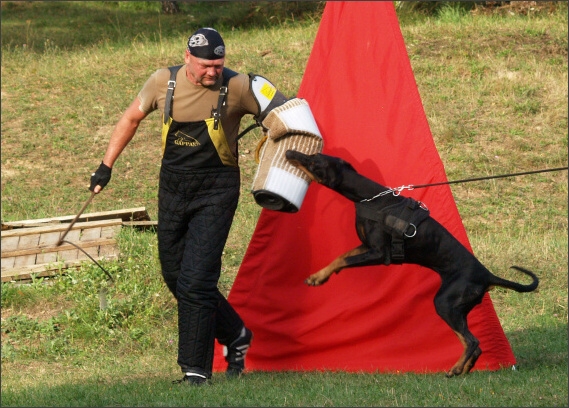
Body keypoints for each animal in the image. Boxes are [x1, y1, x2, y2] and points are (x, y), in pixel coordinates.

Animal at [286, 149, 540, 376]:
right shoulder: (366, 246)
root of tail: (487, 275)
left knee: (472, 341)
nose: (289, 152)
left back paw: (455, 369)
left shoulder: (380, 254)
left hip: (445, 303)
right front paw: (319, 276)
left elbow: (346, 260)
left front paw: (319, 278)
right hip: (459, 309)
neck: (369, 197)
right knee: (474, 345)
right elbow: (340, 257)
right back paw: (464, 369)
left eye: (314, 160)